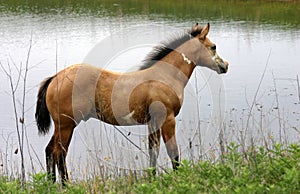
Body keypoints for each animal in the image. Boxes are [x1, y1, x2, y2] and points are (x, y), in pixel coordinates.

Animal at [34, 22, 227, 183]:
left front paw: (152, 179)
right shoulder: (167, 120)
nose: (225, 65)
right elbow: (174, 153)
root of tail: (55, 78)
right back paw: (66, 185)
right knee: (59, 153)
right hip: (66, 125)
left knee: (50, 150)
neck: (164, 76)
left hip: (62, 126)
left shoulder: (153, 122)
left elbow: (153, 151)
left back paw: (51, 183)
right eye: (213, 47)